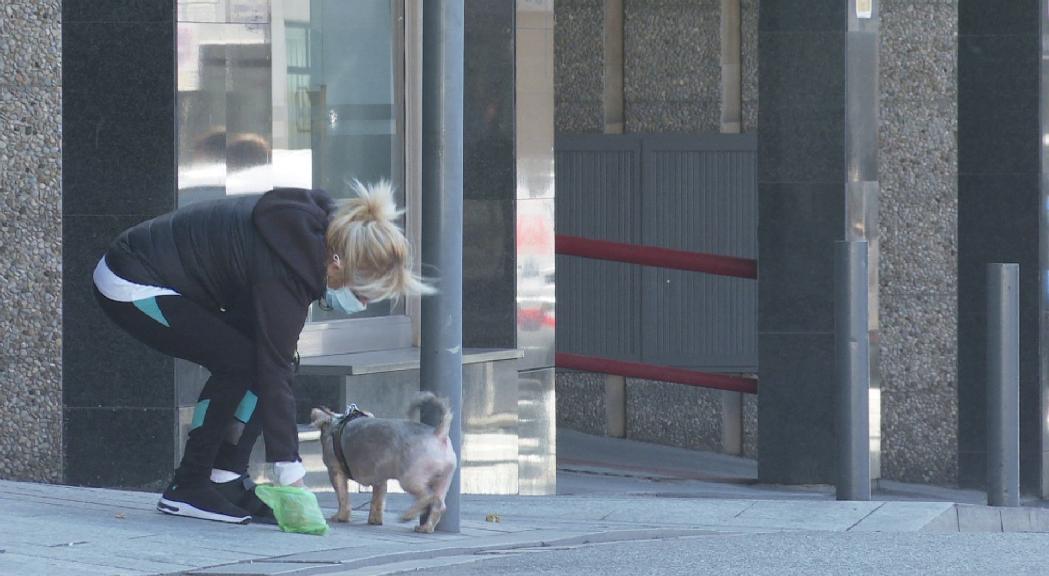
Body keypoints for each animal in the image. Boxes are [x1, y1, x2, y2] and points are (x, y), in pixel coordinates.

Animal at [310, 392, 459, 532]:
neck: (335, 424)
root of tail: (439, 434)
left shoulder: (335, 472)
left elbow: (343, 497)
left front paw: (340, 517)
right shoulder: (380, 479)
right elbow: (377, 501)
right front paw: (375, 520)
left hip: (410, 479)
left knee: (428, 496)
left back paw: (408, 515)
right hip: (443, 480)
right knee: (438, 504)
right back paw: (425, 528)